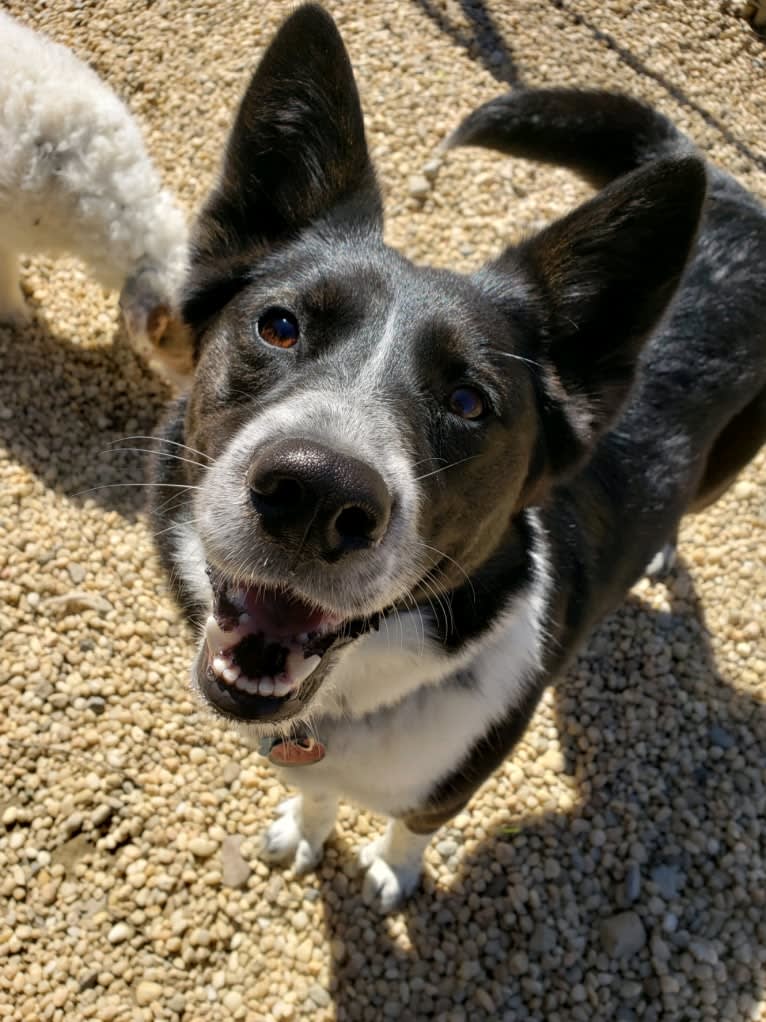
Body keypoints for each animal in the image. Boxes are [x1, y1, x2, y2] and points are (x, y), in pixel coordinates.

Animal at [151, 3, 766, 907]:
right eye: (279, 326)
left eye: (469, 403)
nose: (314, 495)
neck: (363, 686)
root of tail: (723, 187)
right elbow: (317, 791)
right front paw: (306, 830)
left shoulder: (457, 780)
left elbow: (413, 825)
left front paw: (391, 870)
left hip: (728, 464)